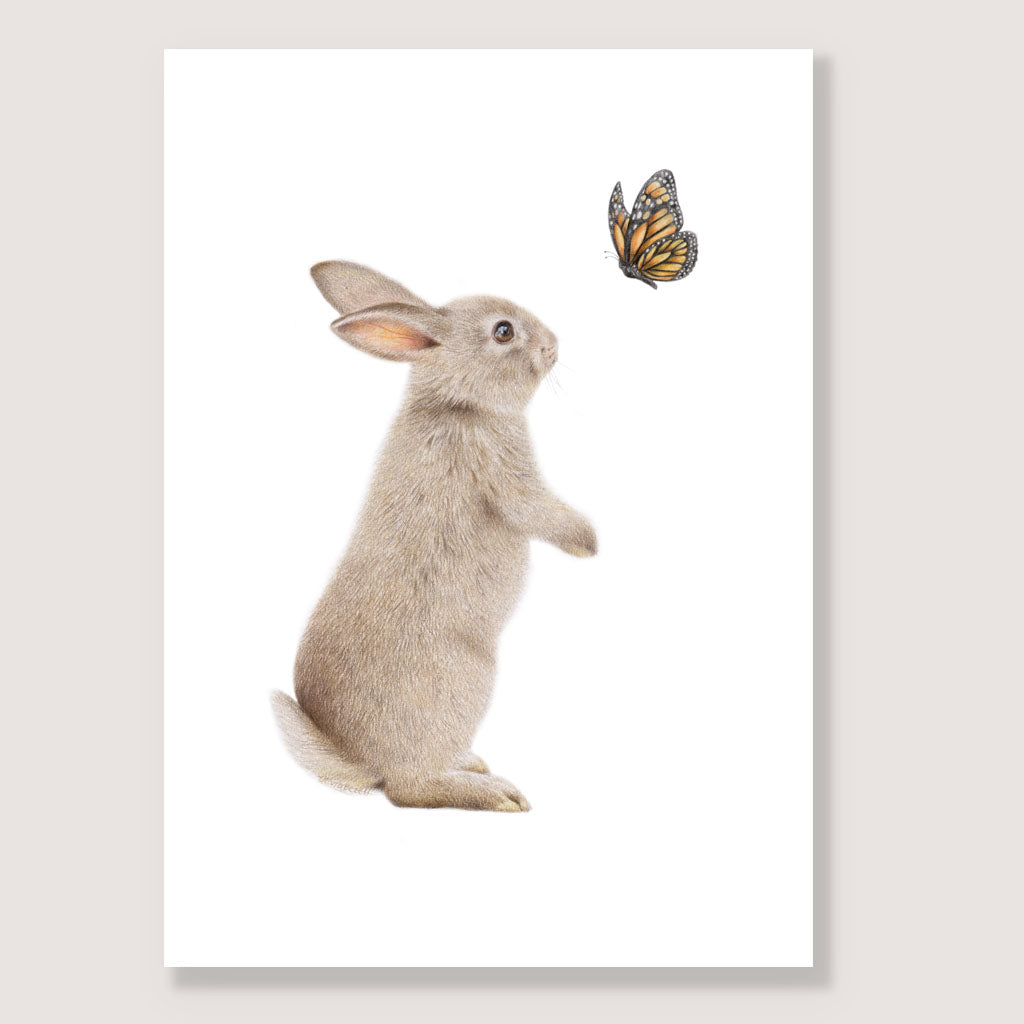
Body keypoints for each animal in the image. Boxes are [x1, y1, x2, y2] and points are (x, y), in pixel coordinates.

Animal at [272, 261, 596, 811]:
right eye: (503, 331)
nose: (554, 345)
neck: (458, 400)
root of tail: (363, 762)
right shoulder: (505, 473)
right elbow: (535, 509)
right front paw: (590, 543)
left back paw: (474, 763)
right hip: (467, 680)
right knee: (410, 789)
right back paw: (497, 794)